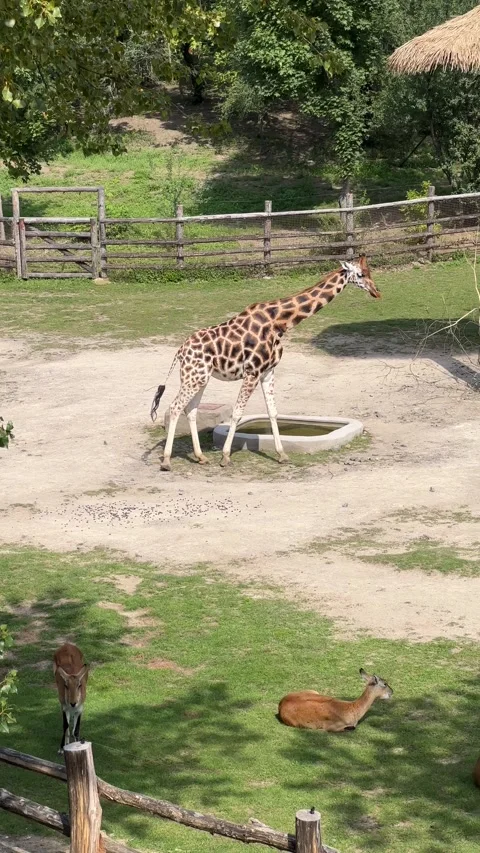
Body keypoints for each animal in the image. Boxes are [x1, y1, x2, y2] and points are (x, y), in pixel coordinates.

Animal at [151, 255, 380, 470]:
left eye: (369, 272)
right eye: (361, 274)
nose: (377, 292)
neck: (279, 322)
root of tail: (180, 352)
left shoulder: (268, 371)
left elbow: (273, 412)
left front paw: (282, 455)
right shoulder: (252, 372)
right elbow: (237, 413)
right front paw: (225, 457)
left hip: (200, 378)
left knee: (190, 410)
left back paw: (200, 457)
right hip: (194, 377)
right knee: (175, 407)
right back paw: (167, 461)